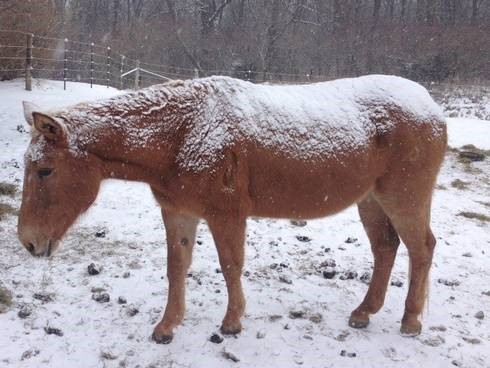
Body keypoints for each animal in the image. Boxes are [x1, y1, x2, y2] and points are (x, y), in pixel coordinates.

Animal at [17, 75, 446, 344]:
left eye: (45, 170)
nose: (28, 242)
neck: (181, 131)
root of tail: (432, 108)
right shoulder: (179, 212)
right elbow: (177, 267)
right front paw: (167, 327)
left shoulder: (226, 214)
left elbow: (230, 265)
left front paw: (233, 322)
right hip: (370, 201)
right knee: (386, 249)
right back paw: (364, 312)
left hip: (403, 198)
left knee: (421, 248)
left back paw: (411, 321)